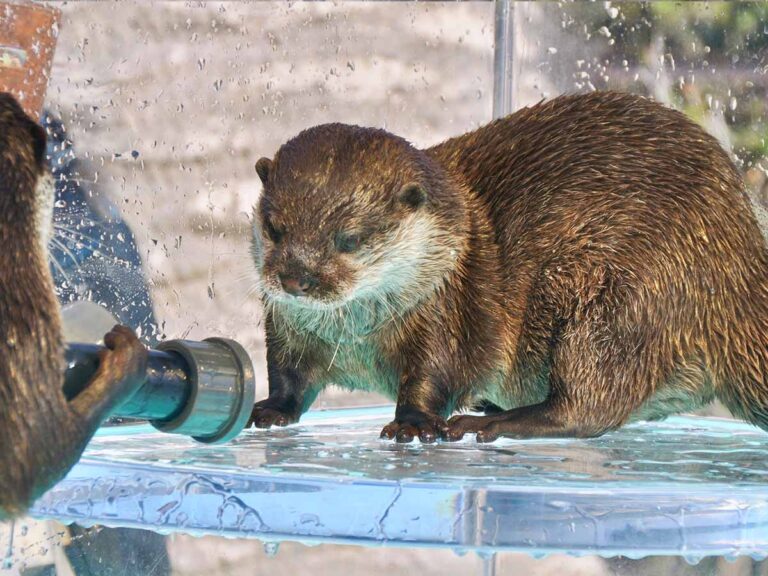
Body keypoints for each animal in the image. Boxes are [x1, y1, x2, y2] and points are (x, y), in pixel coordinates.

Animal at [249, 90, 768, 444]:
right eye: (274, 227)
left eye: (349, 239)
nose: (294, 278)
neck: (355, 338)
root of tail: (737, 263)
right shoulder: (287, 328)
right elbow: (287, 375)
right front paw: (270, 410)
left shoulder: (446, 310)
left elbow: (433, 374)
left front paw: (412, 423)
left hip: (624, 294)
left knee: (588, 406)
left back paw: (492, 420)